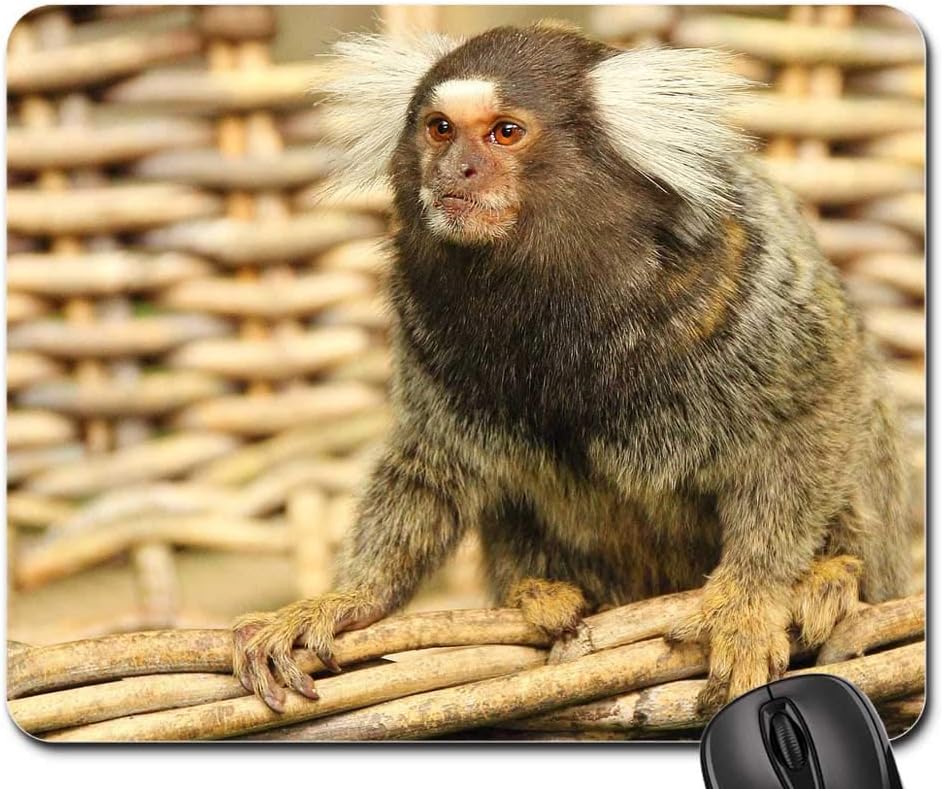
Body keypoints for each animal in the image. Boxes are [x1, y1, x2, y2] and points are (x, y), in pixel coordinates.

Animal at [232, 23, 911, 716]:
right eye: (440, 129)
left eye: (505, 132)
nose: (454, 170)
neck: (547, 286)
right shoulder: (422, 327)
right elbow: (430, 467)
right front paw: (348, 599)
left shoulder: (740, 280)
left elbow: (812, 409)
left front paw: (750, 600)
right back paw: (539, 592)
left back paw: (832, 578)